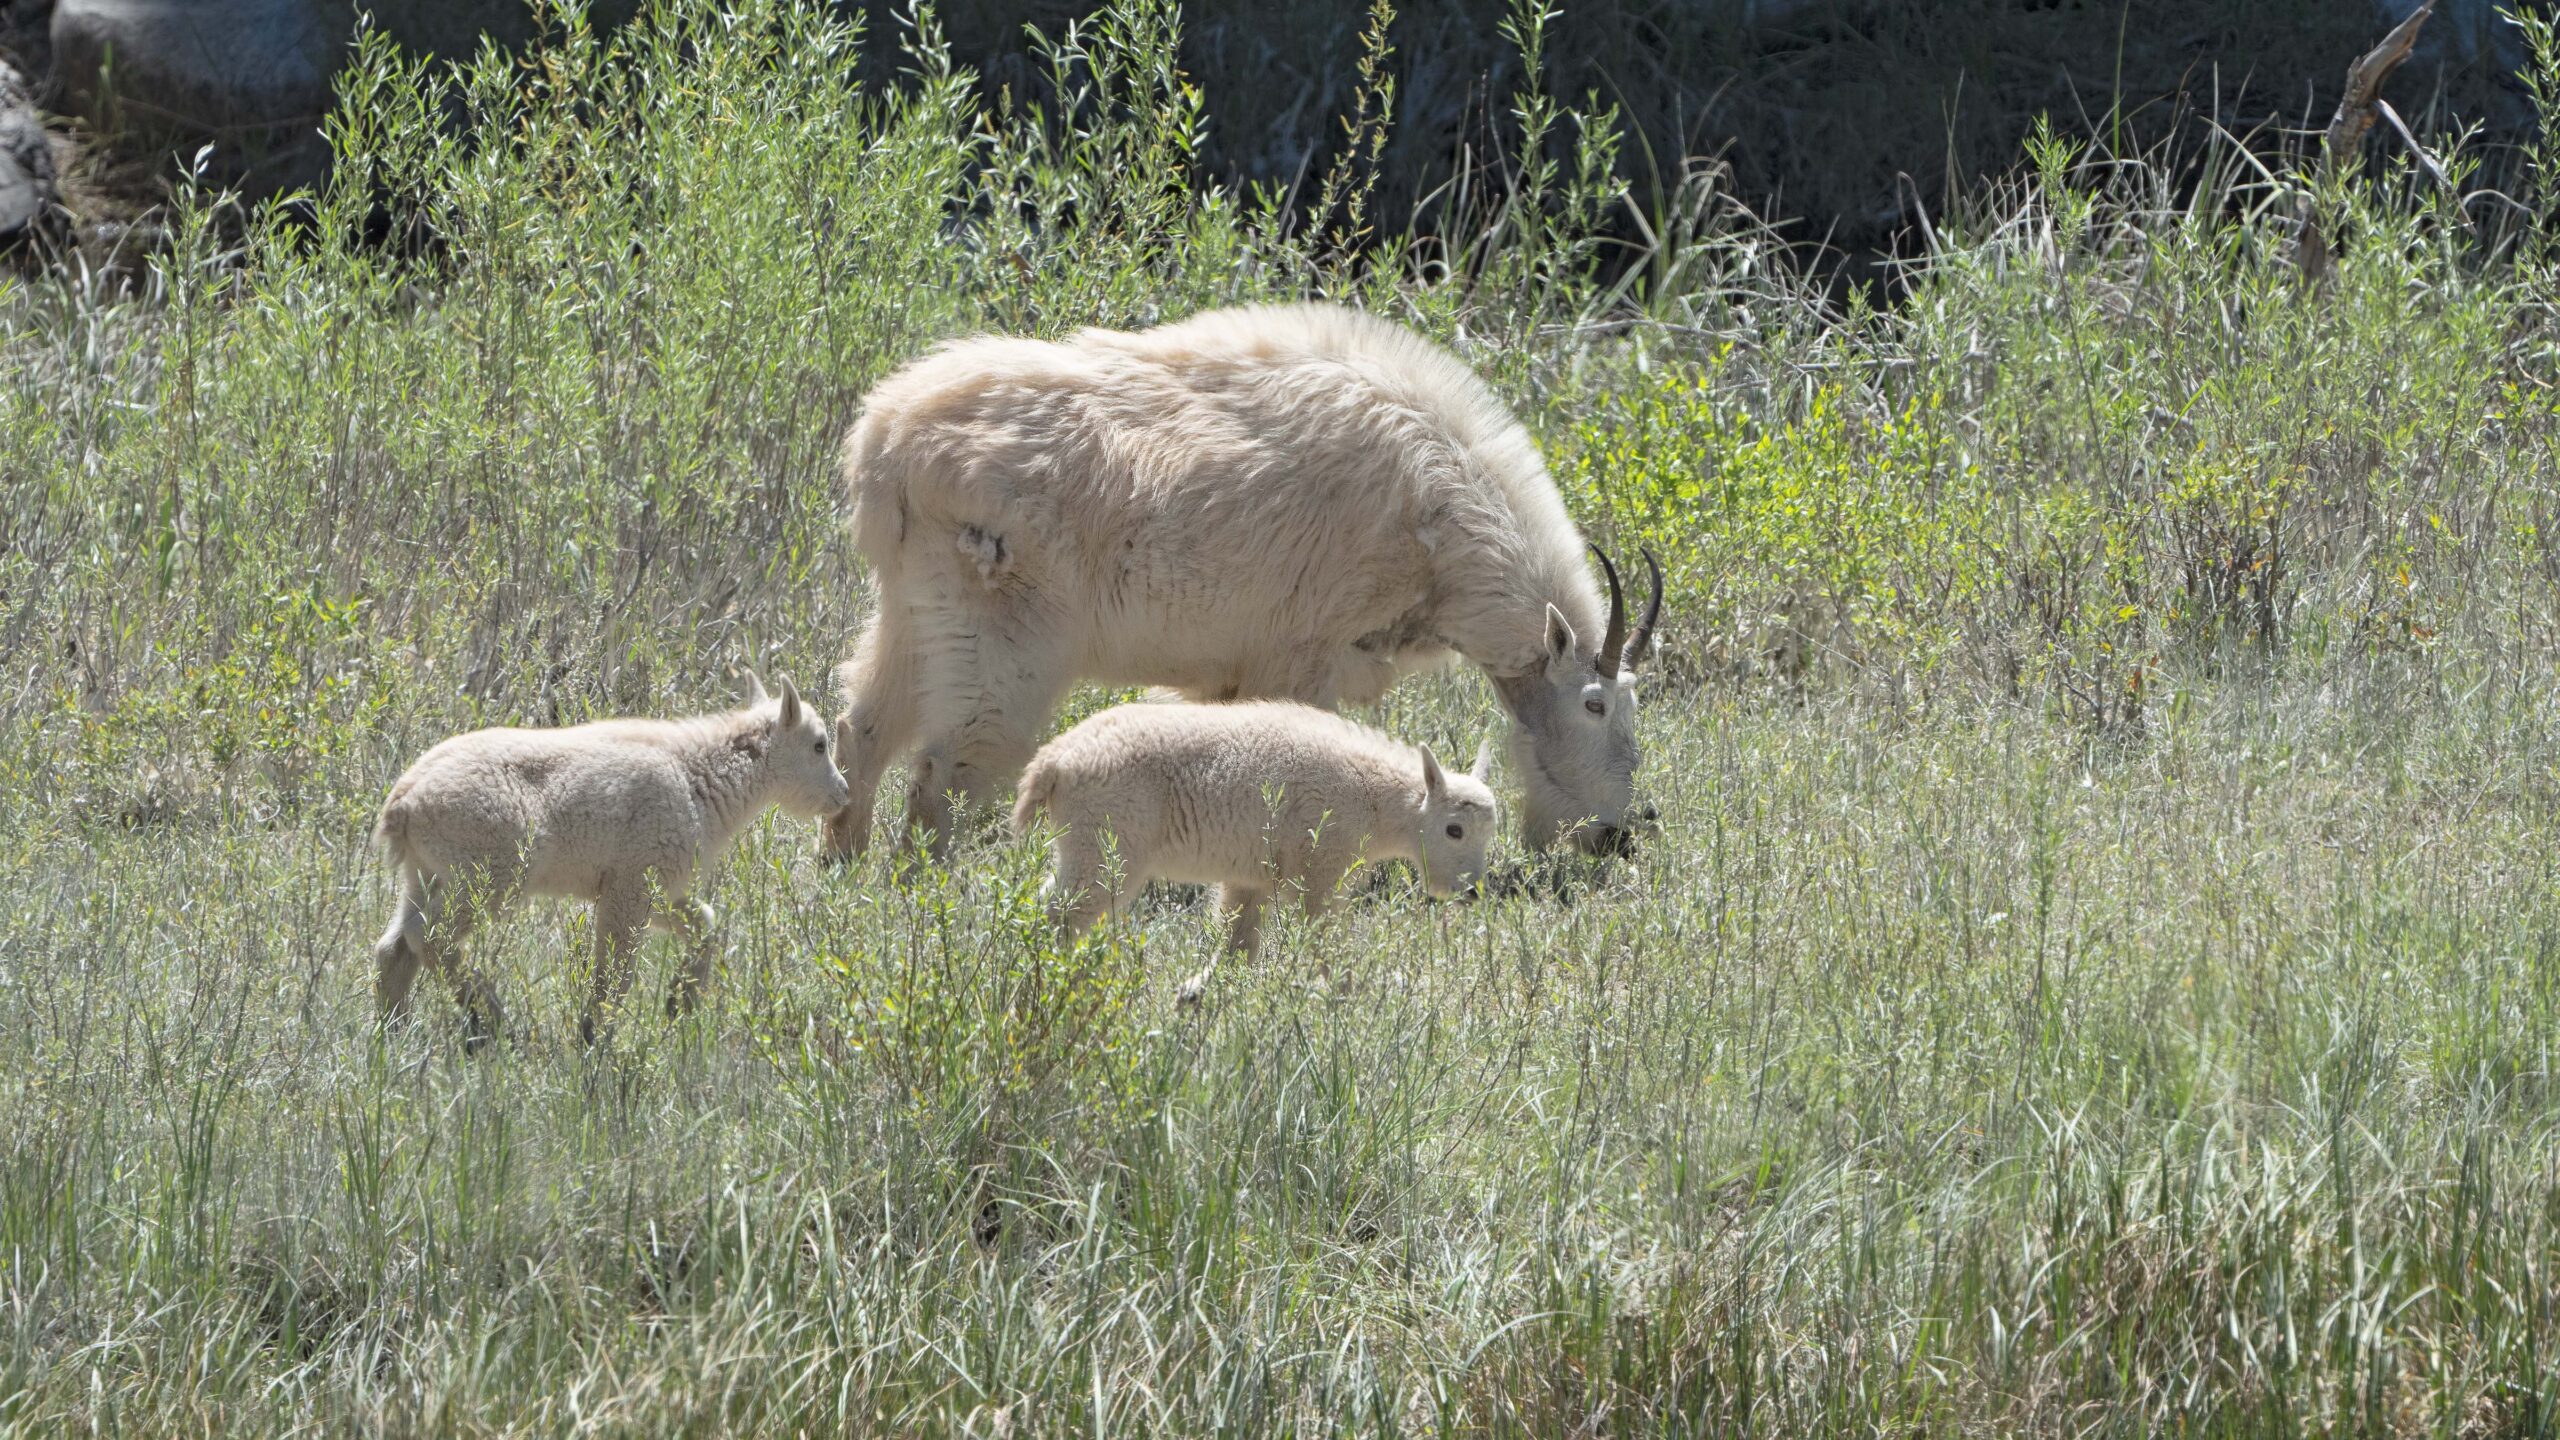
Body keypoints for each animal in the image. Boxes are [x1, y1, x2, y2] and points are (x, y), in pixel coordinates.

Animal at [819, 299, 1658, 850]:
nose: (1614, 836)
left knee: (863, 725)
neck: (1439, 517)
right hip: (1001, 629)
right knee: (951, 765)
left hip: (912, 607)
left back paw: (844, 861)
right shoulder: (1302, 654)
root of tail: (882, 444)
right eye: (1594, 704)